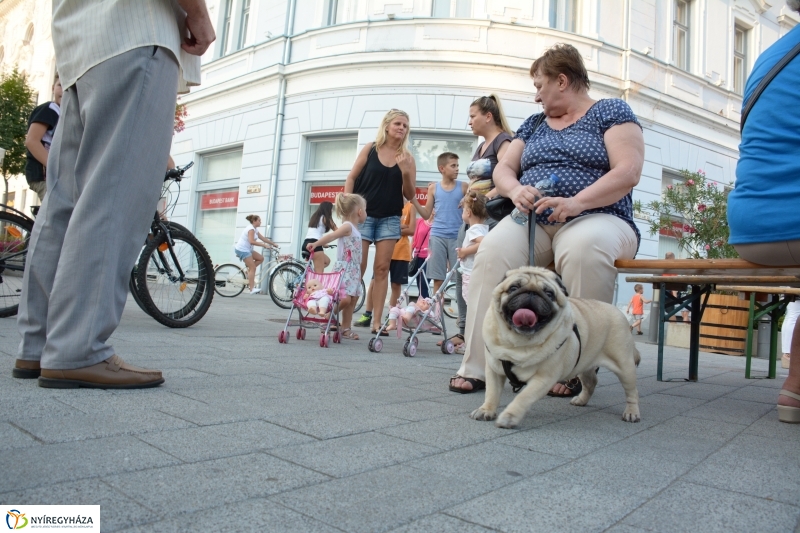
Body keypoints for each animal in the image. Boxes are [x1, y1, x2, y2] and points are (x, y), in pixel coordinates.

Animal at [472, 266, 640, 428]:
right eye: (513, 288)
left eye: (549, 293)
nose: (532, 292)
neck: (520, 341)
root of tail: (618, 312)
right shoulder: (493, 370)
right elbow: (492, 393)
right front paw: (486, 410)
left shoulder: (543, 379)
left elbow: (523, 397)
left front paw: (509, 416)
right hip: (585, 365)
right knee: (591, 382)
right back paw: (581, 400)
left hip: (625, 367)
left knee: (632, 392)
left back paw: (632, 413)